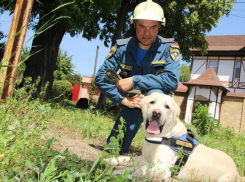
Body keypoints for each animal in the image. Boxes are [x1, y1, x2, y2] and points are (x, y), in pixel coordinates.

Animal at [106, 93, 242, 181]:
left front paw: (117, 172)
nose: (156, 113)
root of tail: (237, 172)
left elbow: (138, 169)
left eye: (167, 107)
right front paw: (109, 160)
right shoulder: (144, 158)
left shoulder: (160, 168)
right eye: (152, 102)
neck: (160, 137)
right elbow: (126, 159)